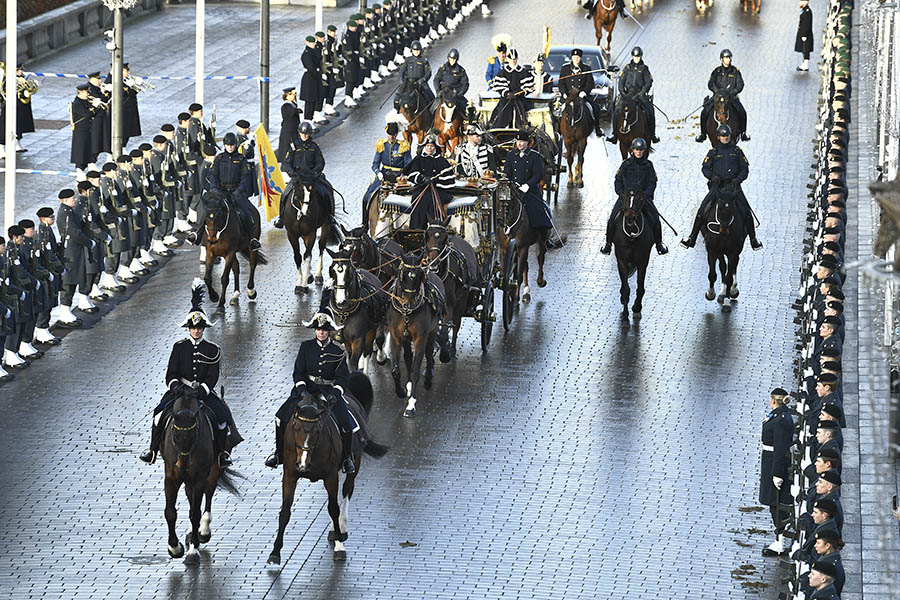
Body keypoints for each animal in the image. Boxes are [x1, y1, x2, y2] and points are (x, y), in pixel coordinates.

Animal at [160, 386, 241, 564]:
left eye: (193, 434)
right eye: (175, 435)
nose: (182, 465)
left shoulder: (199, 478)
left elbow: (196, 514)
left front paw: (192, 550)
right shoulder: (171, 478)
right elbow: (170, 512)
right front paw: (174, 548)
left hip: (214, 469)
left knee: (208, 492)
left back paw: (203, 531)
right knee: (190, 497)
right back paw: (192, 533)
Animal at [270, 372, 390, 564]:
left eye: (317, 430)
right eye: (295, 427)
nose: (302, 464)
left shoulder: (331, 476)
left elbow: (334, 508)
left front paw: (340, 546)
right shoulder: (289, 475)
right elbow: (285, 511)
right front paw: (275, 552)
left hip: (354, 463)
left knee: (347, 490)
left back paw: (341, 527)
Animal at [612, 190, 652, 318]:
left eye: (640, 199)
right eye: (624, 197)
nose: (630, 218)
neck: (631, 237)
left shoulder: (643, 261)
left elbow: (640, 287)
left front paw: (637, 307)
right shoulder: (621, 260)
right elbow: (625, 288)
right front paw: (625, 312)